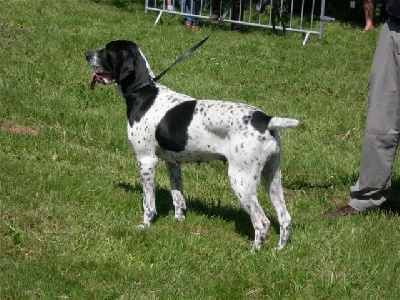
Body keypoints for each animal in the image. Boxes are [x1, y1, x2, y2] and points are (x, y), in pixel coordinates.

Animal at [86, 39, 300, 251]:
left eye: (107, 50)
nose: (87, 54)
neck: (143, 93)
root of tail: (266, 120)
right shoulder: (172, 163)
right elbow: (178, 197)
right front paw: (178, 222)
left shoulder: (146, 160)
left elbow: (148, 202)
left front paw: (145, 225)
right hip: (271, 176)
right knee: (285, 217)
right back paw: (278, 250)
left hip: (241, 178)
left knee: (261, 222)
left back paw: (253, 252)